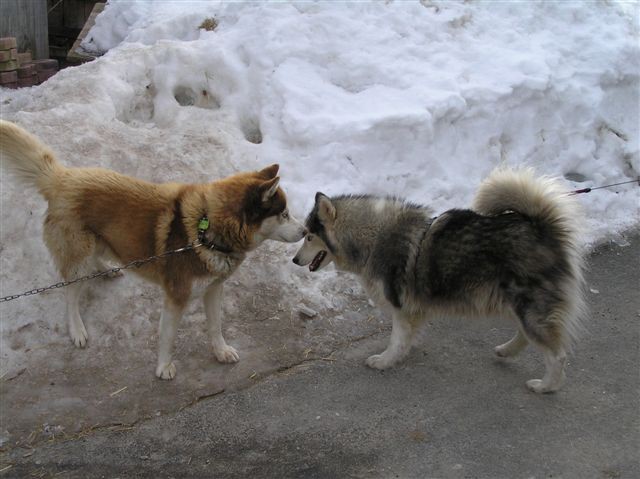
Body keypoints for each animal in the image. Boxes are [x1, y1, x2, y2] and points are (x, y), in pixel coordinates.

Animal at [0, 122, 304, 380]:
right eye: (284, 214)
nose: (305, 232)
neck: (208, 230)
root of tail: (62, 178)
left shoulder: (214, 288)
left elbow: (215, 325)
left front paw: (220, 351)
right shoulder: (176, 298)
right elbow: (167, 337)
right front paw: (164, 367)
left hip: (97, 242)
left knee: (94, 261)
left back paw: (105, 270)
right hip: (78, 254)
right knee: (70, 293)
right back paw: (77, 329)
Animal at [294, 169, 584, 394]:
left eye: (309, 236)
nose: (295, 260)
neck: (371, 239)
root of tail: (540, 228)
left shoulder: (401, 307)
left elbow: (396, 339)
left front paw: (385, 361)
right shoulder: (413, 310)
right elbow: (405, 338)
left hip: (529, 306)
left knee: (556, 354)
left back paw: (546, 386)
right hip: (514, 303)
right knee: (525, 335)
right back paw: (506, 351)